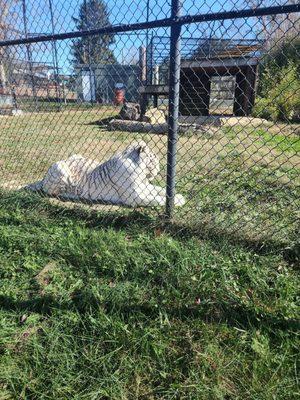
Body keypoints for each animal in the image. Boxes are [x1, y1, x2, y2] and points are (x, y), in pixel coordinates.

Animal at [29, 141, 185, 208]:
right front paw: (178, 201)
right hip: (60, 168)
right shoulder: (135, 196)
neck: (141, 173)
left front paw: (177, 195)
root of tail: (43, 178)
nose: (158, 167)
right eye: (153, 157)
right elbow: (156, 199)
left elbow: (160, 191)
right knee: (54, 192)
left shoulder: (144, 186)